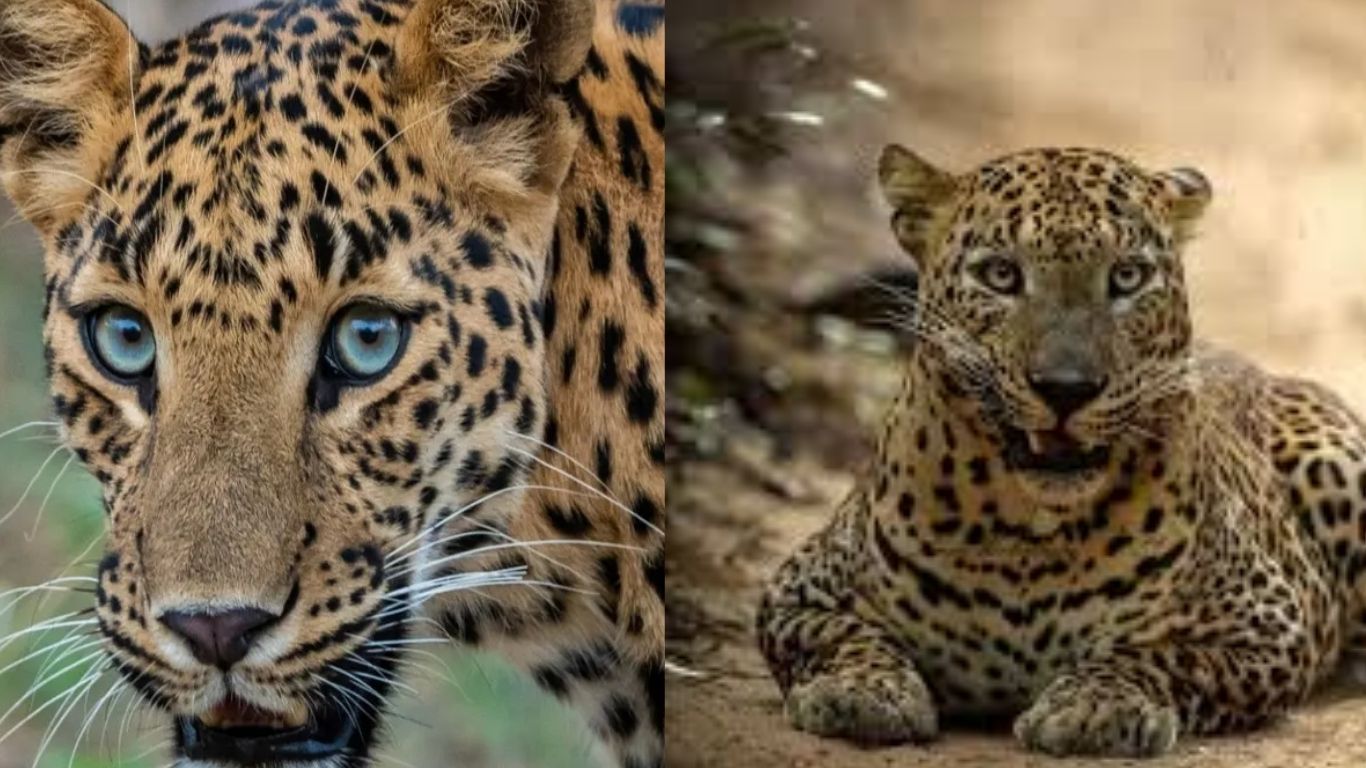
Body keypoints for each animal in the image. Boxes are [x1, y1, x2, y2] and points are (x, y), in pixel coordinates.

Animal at [757, 143, 1366, 757]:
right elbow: (841, 634)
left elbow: (1157, 657)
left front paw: (1095, 705)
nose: (1066, 387)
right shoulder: (793, 592)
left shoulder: (1269, 625)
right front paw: (863, 690)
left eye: (1127, 276)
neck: (1028, 534)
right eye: (1001, 274)